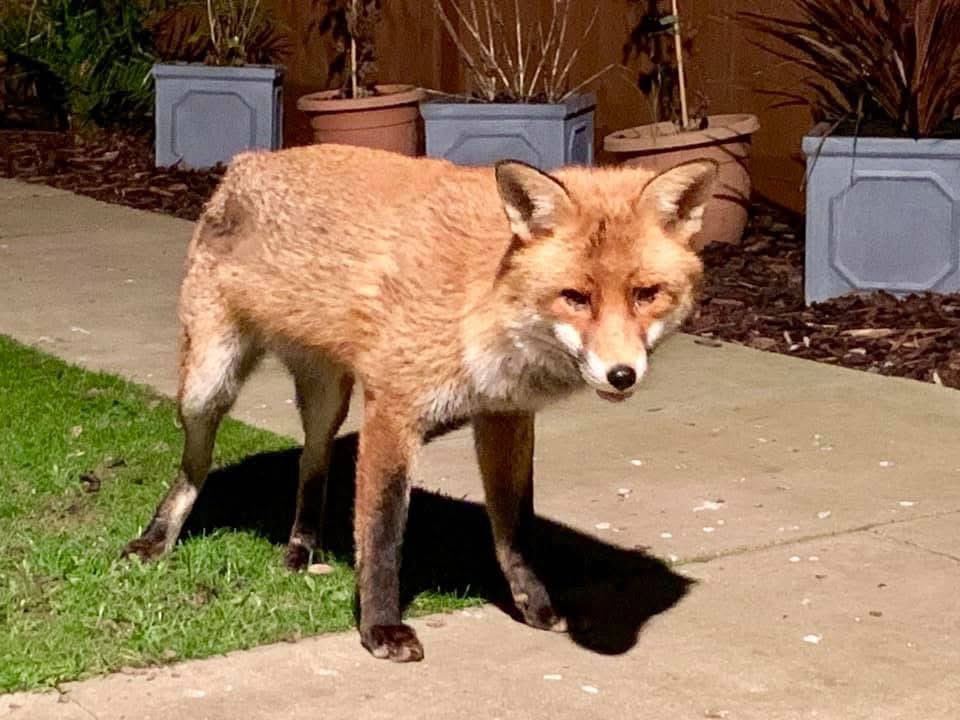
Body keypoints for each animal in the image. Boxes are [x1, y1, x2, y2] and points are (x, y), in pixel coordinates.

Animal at [122, 142, 718, 662]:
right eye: (575, 297)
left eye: (646, 294)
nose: (622, 375)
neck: (485, 300)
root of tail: (248, 159)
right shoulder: (393, 410)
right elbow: (384, 534)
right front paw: (380, 628)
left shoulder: (502, 414)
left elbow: (514, 527)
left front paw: (533, 603)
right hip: (207, 384)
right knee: (195, 464)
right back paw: (157, 538)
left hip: (326, 400)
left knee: (312, 461)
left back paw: (302, 545)